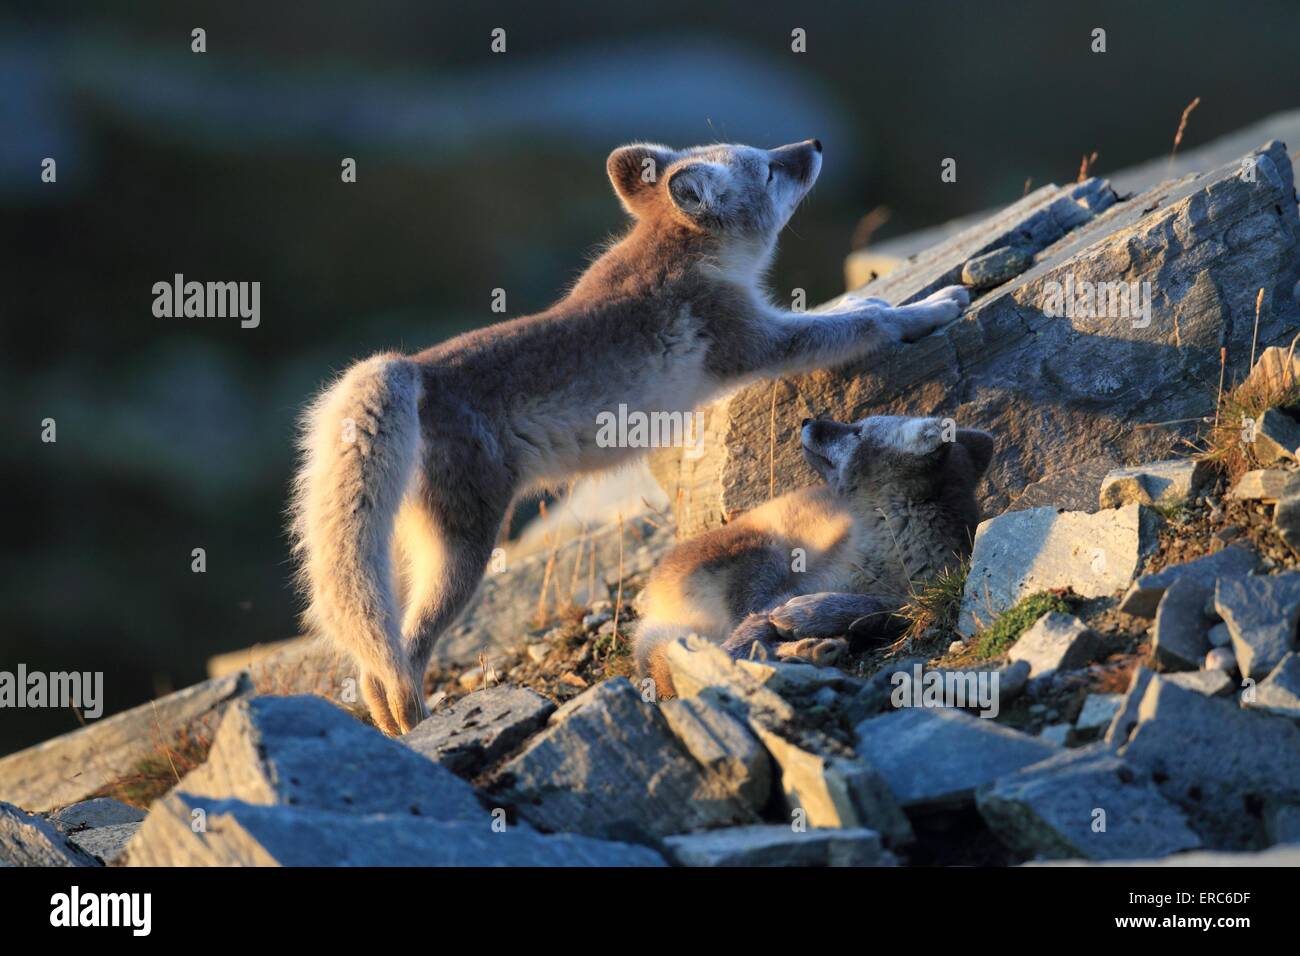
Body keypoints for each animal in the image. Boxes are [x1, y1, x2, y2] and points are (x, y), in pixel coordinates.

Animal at [634, 411, 987, 697]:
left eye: (858, 431)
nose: (806, 421)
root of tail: (652, 607)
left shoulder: (912, 602)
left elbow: (874, 610)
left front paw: (812, 615)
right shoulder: (779, 596)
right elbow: (747, 634)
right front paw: (799, 617)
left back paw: (812, 649)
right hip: (764, 557)